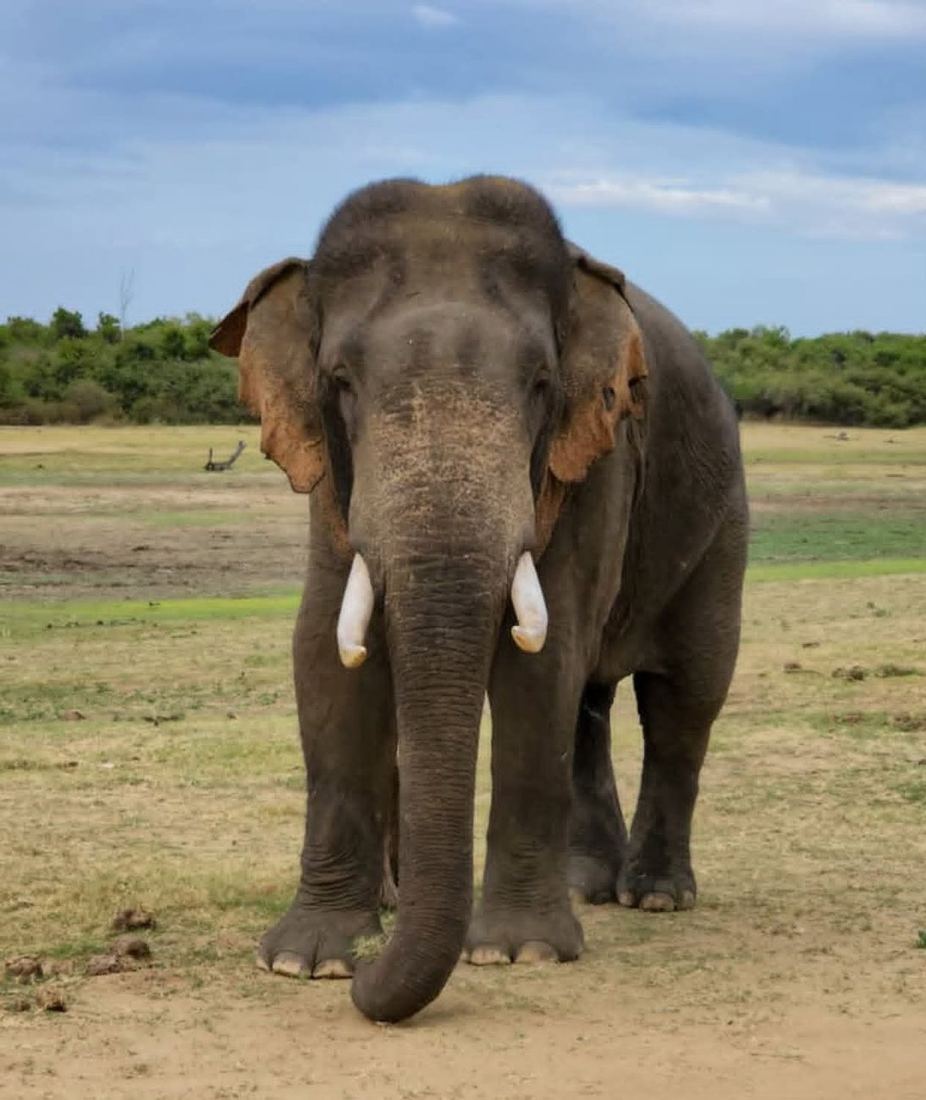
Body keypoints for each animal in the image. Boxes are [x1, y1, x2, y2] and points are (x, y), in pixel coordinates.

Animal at [210, 175, 748, 1024]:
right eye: (340, 383)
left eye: (540, 385)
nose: (370, 981)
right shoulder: (331, 478)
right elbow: (325, 654)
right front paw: (309, 962)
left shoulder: (592, 453)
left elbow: (541, 665)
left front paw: (515, 952)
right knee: (590, 702)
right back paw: (578, 885)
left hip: (721, 520)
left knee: (683, 700)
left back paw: (656, 896)